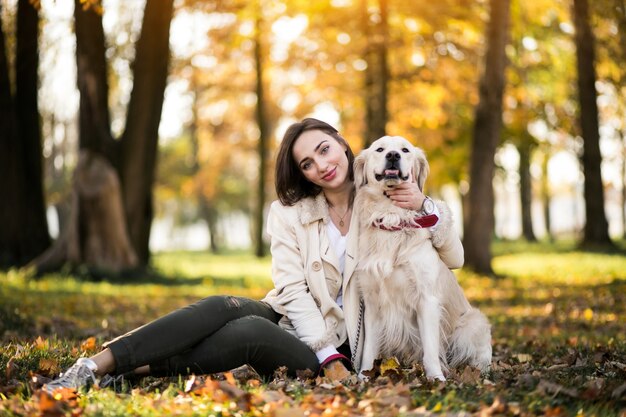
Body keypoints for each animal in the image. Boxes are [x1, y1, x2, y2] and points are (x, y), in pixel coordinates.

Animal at [354, 135, 490, 378]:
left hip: (473, 322)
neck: (392, 217)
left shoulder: (427, 299)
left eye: (405, 150)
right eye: (380, 149)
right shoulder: (372, 301)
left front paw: (436, 378)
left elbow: (430, 349)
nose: (393, 156)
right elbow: (369, 348)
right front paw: (363, 376)